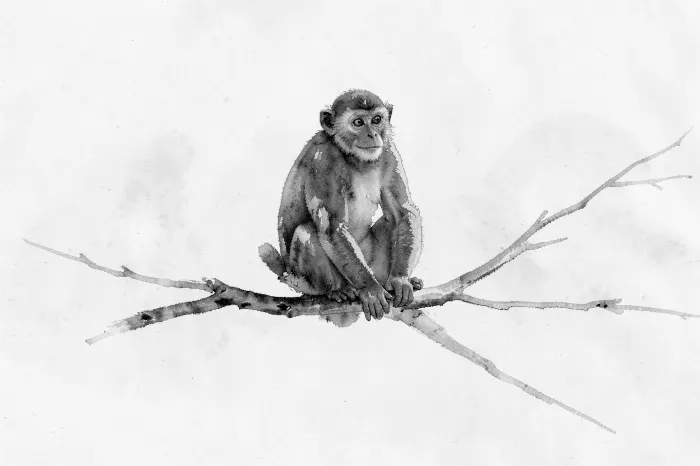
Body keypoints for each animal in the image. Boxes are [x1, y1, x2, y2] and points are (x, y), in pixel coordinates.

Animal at [259, 89, 423, 327]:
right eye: (358, 122)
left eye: (376, 120)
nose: (373, 135)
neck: (355, 158)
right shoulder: (323, 159)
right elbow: (332, 227)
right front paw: (370, 290)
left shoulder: (388, 150)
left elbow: (402, 213)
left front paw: (400, 280)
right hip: (305, 282)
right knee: (307, 230)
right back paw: (337, 291)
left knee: (389, 222)